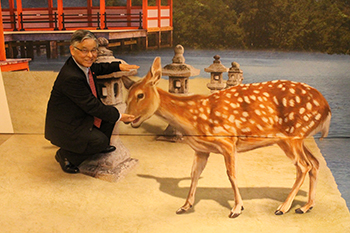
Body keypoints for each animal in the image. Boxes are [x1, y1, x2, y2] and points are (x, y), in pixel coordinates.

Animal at [124, 57, 332, 218]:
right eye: (126, 98)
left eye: (140, 95)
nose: (126, 118)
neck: (192, 118)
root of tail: (326, 108)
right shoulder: (201, 149)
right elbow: (194, 174)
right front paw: (184, 206)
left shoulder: (228, 141)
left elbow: (231, 174)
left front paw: (237, 209)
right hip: (297, 138)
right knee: (314, 163)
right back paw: (305, 207)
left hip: (292, 136)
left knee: (303, 166)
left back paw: (283, 208)